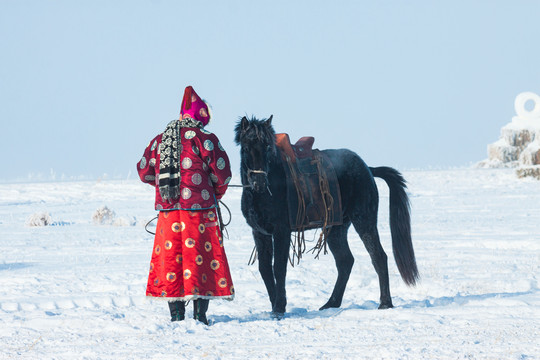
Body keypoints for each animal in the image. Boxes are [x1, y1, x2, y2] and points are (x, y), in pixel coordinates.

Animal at [233, 116, 418, 318]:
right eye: (245, 147)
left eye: (267, 147)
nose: (259, 182)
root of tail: (368, 169)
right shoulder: (260, 233)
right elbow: (265, 269)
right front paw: (275, 304)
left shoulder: (282, 231)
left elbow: (279, 267)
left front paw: (279, 307)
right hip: (337, 228)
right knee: (345, 261)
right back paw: (331, 303)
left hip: (364, 220)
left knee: (378, 256)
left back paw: (384, 303)